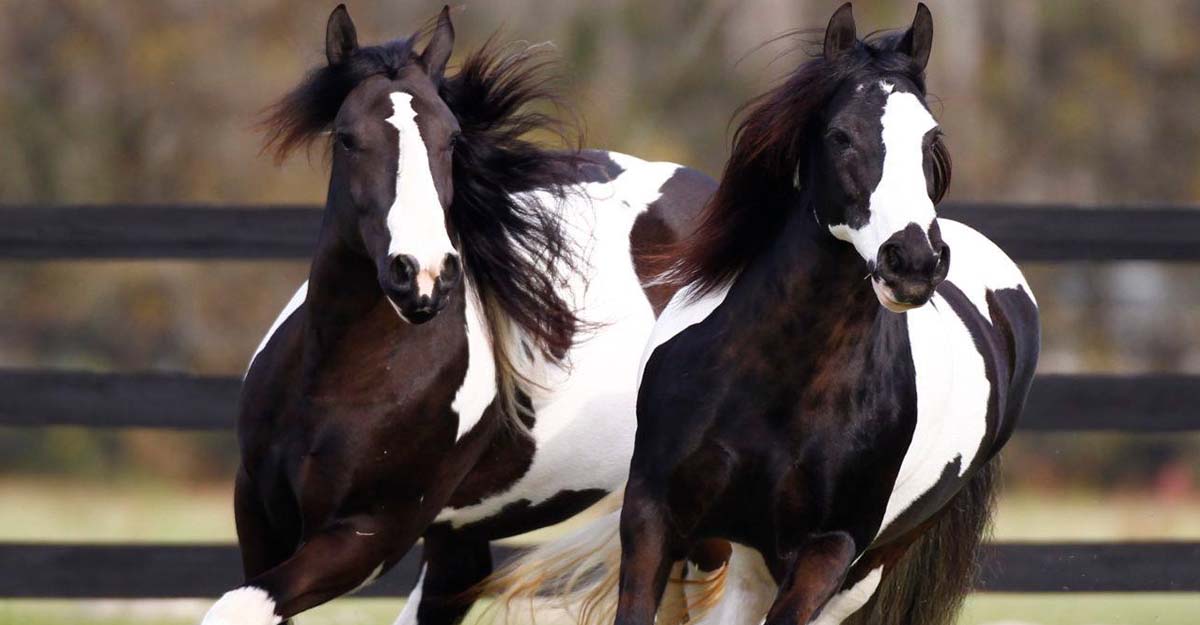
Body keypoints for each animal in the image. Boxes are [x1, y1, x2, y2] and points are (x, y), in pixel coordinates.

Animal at [201, 6, 715, 623]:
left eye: (450, 138)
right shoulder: (258, 509)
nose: (421, 274)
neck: (335, 379)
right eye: (348, 138)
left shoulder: (368, 535)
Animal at [487, 4, 1041, 623]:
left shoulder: (828, 551)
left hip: (859, 568)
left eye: (931, 138)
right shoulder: (656, 513)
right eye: (840, 135)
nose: (913, 260)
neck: (779, 380)